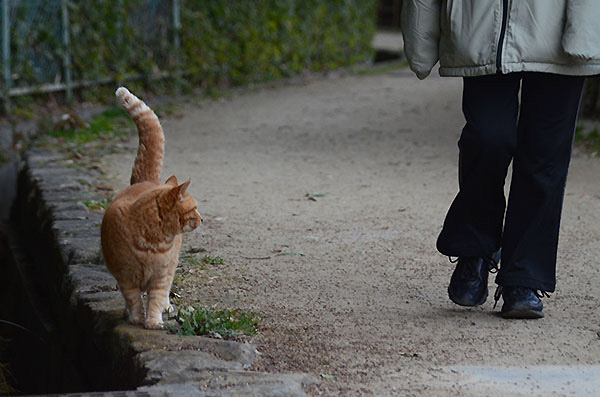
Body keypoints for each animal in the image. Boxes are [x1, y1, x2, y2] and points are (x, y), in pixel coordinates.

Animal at [99, 86, 202, 328]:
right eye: (194, 209)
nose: (202, 219)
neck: (153, 244)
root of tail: (146, 181)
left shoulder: (162, 275)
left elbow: (155, 297)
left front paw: (154, 321)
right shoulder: (125, 276)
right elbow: (134, 299)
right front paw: (136, 318)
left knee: (163, 296)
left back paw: (166, 308)